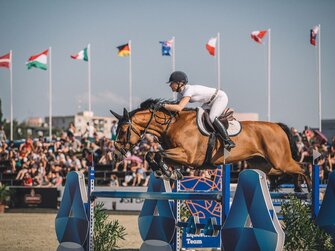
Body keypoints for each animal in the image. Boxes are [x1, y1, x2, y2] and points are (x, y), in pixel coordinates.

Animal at [111, 98, 314, 192]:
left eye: (122, 130)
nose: (117, 153)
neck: (172, 124)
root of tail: (277, 126)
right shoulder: (178, 157)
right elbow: (153, 155)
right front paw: (167, 172)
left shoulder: (187, 156)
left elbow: (156, 154)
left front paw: (166, 172)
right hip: (263, 165)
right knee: (285, 172)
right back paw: (297, 187)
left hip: (280, 160)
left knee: (302, 167)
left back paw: (309, 191)